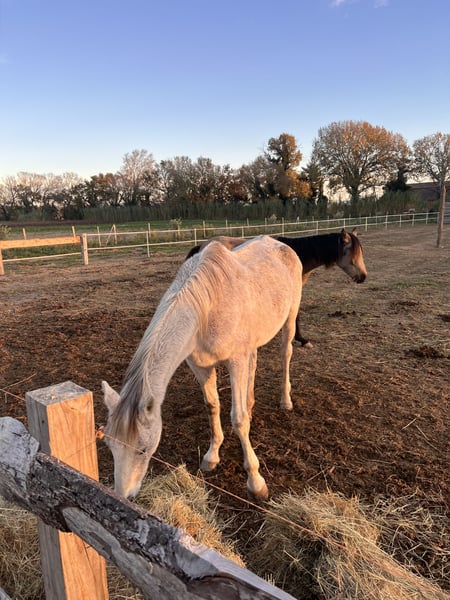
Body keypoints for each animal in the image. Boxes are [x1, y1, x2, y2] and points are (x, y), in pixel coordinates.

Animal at [102, 235, 302, 501]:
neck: (205, 312)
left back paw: (285, 400)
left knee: (285, 354)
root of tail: (279, 244)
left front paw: (256, 482)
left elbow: (238, 418)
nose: (123, 497)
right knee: (254, 365)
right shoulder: (200, 366)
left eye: (143, 450)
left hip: (290, 318)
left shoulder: (235, 361)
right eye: (109, 445)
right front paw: (212, 456)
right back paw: (251, 403)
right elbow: (212, 405)